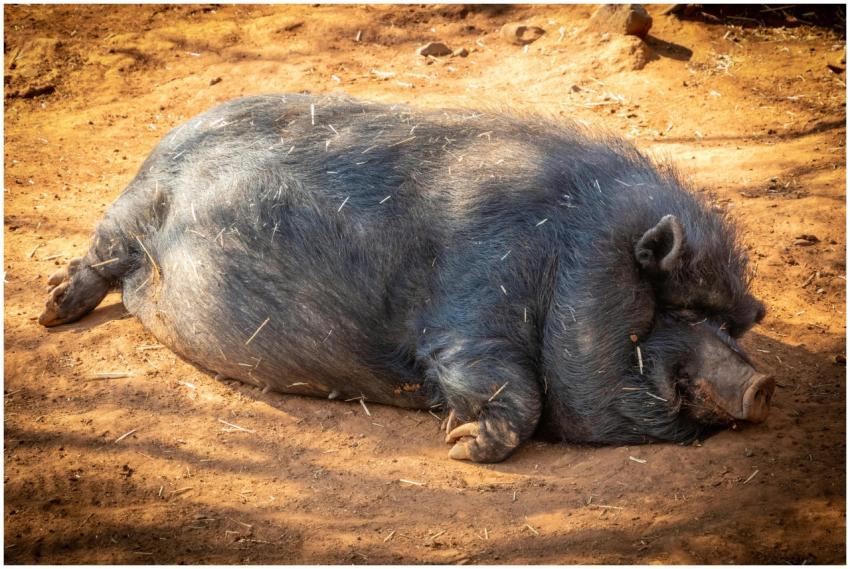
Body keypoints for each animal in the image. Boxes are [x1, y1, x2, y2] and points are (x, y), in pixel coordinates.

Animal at [39, 94, 773, 462]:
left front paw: (456, 440)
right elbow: (513, 389)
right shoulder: (471, 312)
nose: (763, 384)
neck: (567, 261)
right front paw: (458, 447)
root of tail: (163, 142)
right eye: (681, 308)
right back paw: (49, 312)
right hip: (130, 211)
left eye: (731, 323)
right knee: (98, 256)